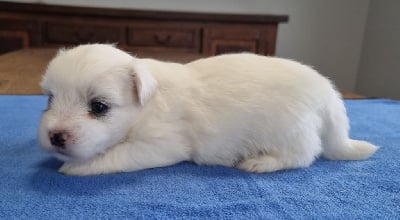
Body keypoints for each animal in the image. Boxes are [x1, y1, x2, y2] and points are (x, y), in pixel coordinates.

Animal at [37, 44, 378, 175]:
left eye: (98, 107)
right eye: (49, 99)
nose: (55, 137)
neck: (147, 104)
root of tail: (327, 92)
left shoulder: (160, 145)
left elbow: (115, 155)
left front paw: (77, 167)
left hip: (290, 130)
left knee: (304, 155)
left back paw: (261, 162)